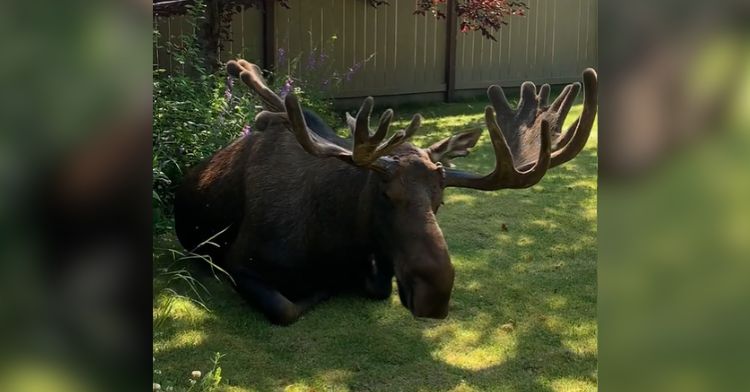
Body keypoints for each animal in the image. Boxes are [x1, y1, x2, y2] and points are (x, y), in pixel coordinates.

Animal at [175, 59, 600, 324]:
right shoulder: (239, 263)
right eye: (384, 194)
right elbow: (287, 308)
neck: (332, 238)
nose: (435, 296)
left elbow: (376, 285)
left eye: (440, 201)